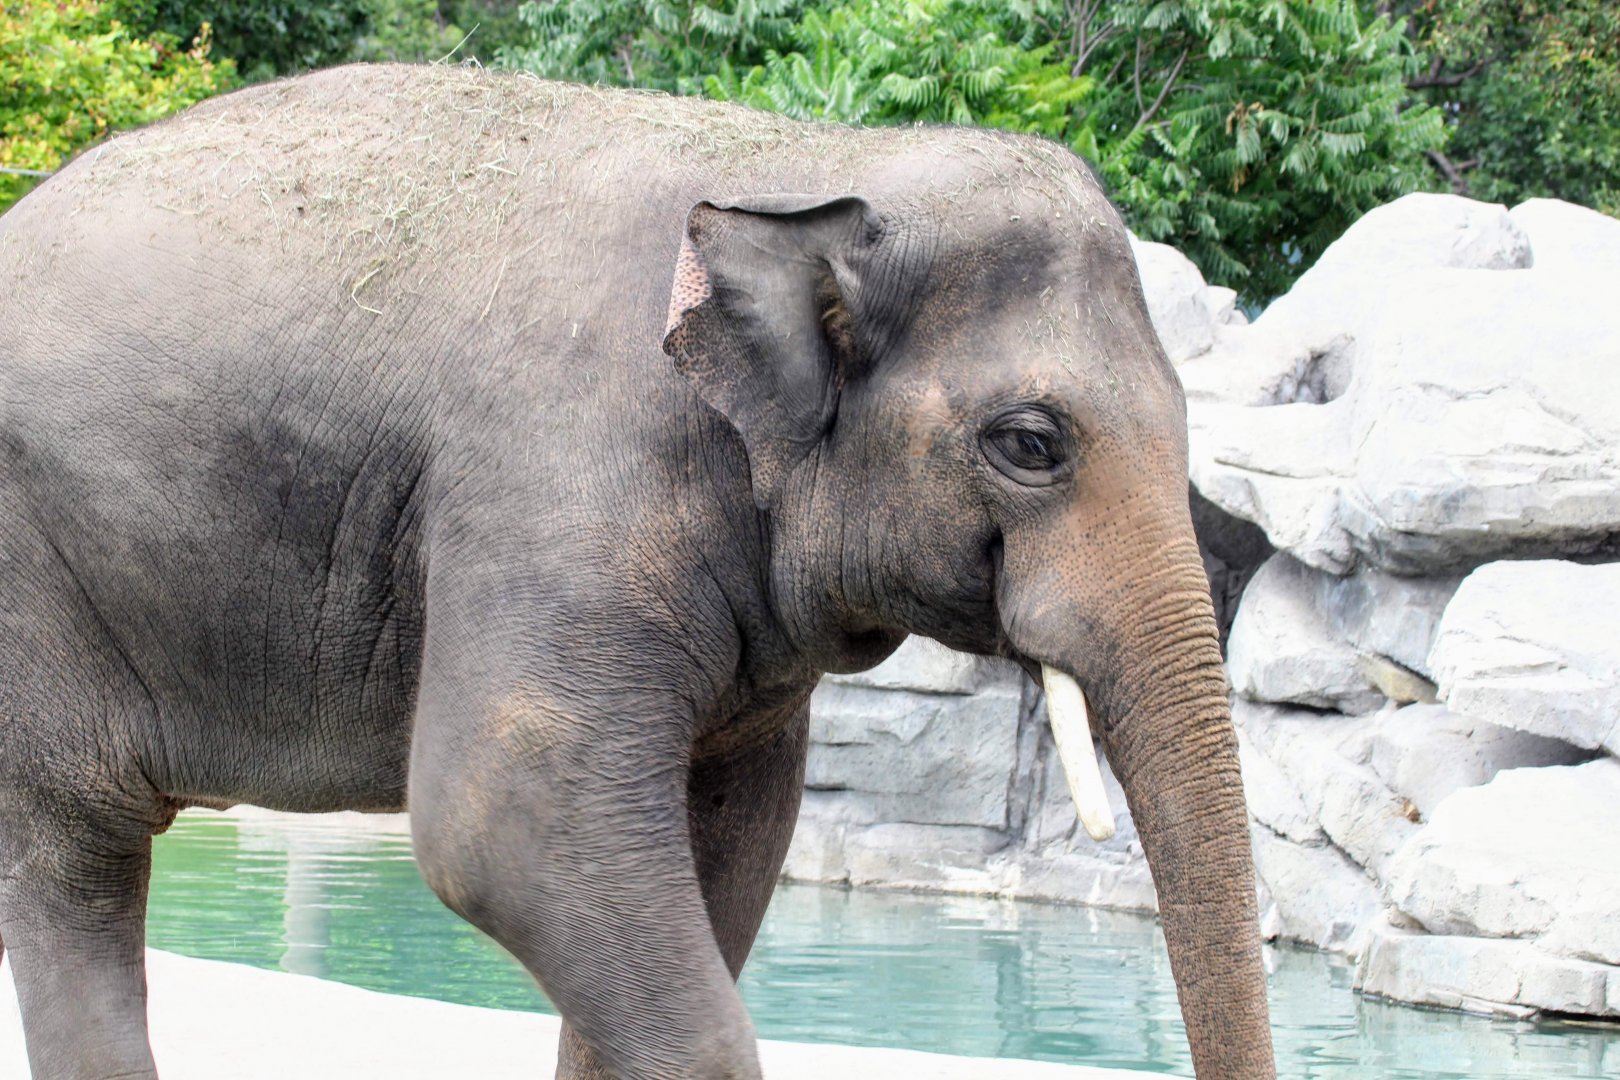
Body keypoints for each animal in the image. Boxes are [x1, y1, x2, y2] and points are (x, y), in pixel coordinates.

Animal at [0, 64, 1273, 1079]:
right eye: (1031, 445)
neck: (806, 163)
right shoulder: (558, 485)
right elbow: (501, 820)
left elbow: (738, 840)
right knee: (72, 857)